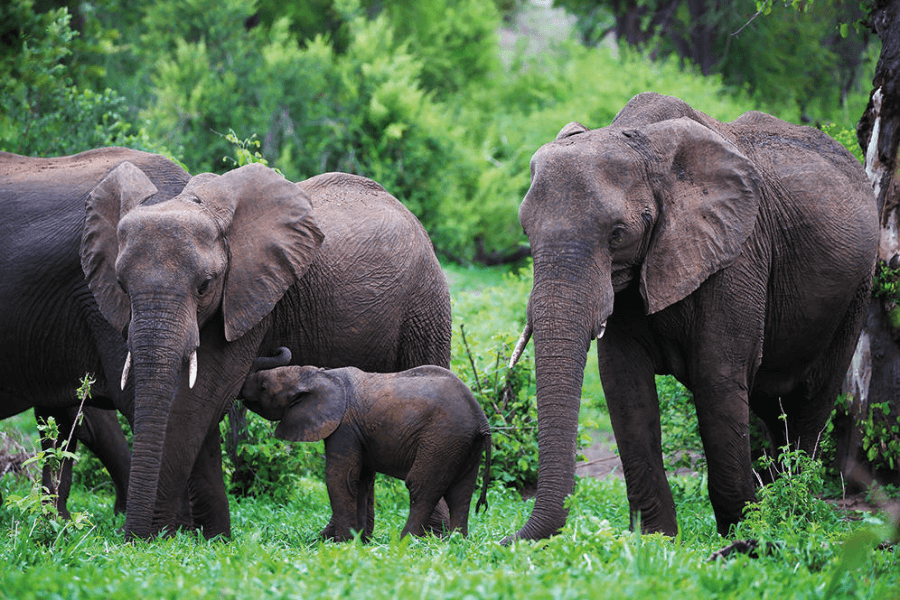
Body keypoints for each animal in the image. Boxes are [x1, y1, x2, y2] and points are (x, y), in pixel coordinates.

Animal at [81, 164, 452, 539]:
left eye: (205, 285)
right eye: (121, 285)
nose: (130, 535)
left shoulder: (250, 294)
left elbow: (201, 398)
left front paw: (155, 538)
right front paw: (198, 537)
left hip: (425, 301)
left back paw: (427, 537)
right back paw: (347, 538)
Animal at [240, 360, 491, 541]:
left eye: (263, 386)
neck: (316, 374)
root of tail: (481, 418)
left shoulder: (344, 426)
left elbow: (340, 478)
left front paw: (342, 543)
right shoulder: (359, 432)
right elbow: (361, 481)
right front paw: (358, 541)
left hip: (441, 438)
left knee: (421, 487)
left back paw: (404, 541)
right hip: (462, 443)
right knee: (461, 492)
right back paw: (457, 541)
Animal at [508, 92, 879, 541]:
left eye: (617, 234)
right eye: (526, 232)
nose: (506, 539)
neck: (641, 142)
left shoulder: (738, 252)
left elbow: (717, 377)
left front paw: (743, 534)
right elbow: (624, 384)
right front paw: (657, 539)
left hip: (857, 289)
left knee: (811, 403)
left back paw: (790, 510)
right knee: (773, 408)